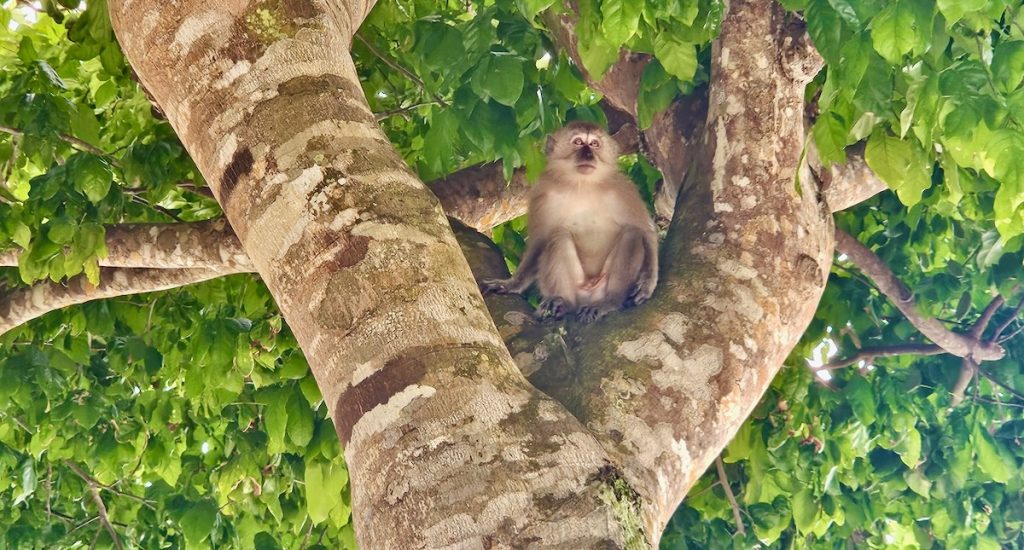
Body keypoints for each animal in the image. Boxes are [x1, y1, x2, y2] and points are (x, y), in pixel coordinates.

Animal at [481, 121, 659, 323]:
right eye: (579, 142)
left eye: (594, 144)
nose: (588, 154)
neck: (582, 185)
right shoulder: (543, 194)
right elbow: (540, 241)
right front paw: (511, 284)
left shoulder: (623, 190)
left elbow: (645, 230)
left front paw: (647, 285)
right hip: (577, 289)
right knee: (557, 235)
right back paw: (562, 303)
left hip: (600, 287)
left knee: (632, 234)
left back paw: (610, 301)